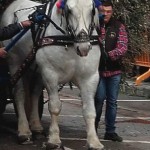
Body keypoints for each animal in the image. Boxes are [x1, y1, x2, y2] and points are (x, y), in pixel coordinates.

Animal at [1, 0, 103, 149]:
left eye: (92, 9)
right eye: (69, 10)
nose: (84, 47)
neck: (69, 42)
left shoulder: (90, 78)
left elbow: (89, 110)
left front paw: (94, 141)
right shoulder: (50, 74)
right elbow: (54, 107)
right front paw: (54, 139)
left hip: (37, 70)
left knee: (34, 94)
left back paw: (36, 127)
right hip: (15, 63)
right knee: (19, 95)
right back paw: (24, 131)